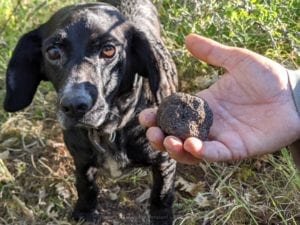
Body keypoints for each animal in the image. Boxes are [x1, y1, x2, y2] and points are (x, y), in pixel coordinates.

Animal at [3, 0, 178, 224]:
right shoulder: (81, 160)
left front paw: (161, 217)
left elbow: (161, 196)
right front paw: (85, 212)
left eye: (109, 50)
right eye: (52, 52)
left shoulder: (165, 162)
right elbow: (86, 186)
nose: (74, 106)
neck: (109, 130)